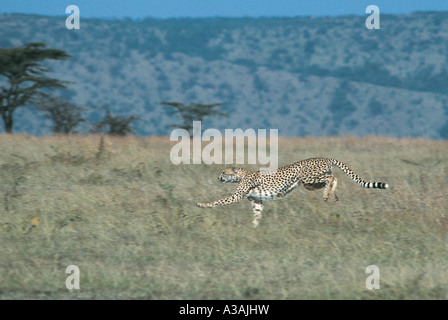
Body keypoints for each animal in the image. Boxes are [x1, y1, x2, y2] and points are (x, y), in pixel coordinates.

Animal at [196, 158, 388, 228]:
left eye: (223, 172)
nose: (218, 177)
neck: (242, 175)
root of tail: (325, 157)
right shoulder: (257, 201)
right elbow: (257, 214)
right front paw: (254, 228)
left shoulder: (237, 196)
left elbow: (219, 201)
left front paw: (202, 204)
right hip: (309, 184)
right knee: (333, 178)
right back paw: (332, 195)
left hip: (308, 178)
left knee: (331, 177)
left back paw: (327, 195)